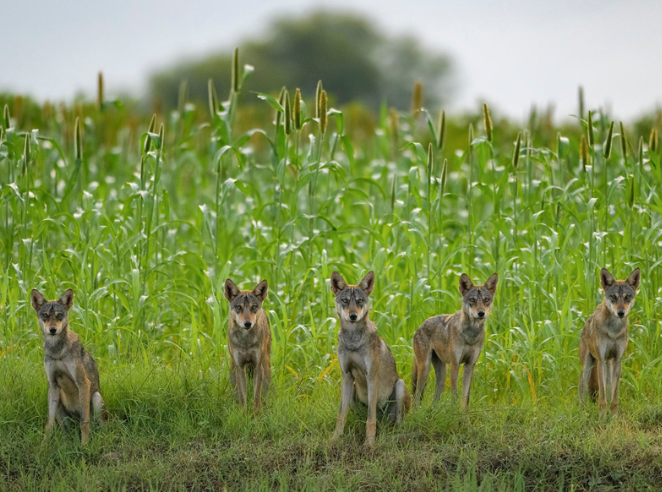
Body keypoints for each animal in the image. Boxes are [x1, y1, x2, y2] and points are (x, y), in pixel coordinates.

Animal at [30, 288, 107, 446]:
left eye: (59, 315)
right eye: (45, 315)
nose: (52, 330)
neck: (57, 352)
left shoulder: (83, 383)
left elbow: (84, 422)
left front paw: (84, 445)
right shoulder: (53, 385)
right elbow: (49, 424)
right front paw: (44, 446)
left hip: (96, 398)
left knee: (98, 427)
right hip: (59, 400)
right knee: (66, 430)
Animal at [412, 272, 500, 408]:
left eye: (486, 300)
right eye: (472, 300)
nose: (481, 313)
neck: (471, 334)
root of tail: (421, 325)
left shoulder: (470, 365)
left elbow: (465, 398)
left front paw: (464, 415)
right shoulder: (455, 364)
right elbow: (454, 395)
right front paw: (454, 413)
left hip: (442, 376)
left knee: (434, 400)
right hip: (425, 369)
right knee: (416, 397)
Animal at [580, 270, 644, 416]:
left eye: (627, 297)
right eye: (613, 297)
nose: (621, 313)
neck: (614, 331)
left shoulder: (618, 360)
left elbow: (614, 396)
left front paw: (614, 416)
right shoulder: (601, 361)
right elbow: (602, 398)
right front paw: (602, 417)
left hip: (608, 367)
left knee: (609, 391)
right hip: (587, 369)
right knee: (582, 394)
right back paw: (582, 413)